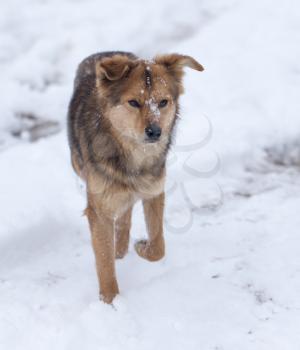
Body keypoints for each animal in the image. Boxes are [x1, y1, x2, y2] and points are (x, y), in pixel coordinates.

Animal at [67, 50, 204, 302]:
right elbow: (104, 261)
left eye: (163, 102)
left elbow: (159, 247)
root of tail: (104, 53)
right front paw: (110, 302)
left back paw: (122, 247)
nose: (155, 132)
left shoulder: (154, 191)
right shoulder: (99, 209)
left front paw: (142, 247)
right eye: (134, 102)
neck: (133, 156)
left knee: (125, 214)